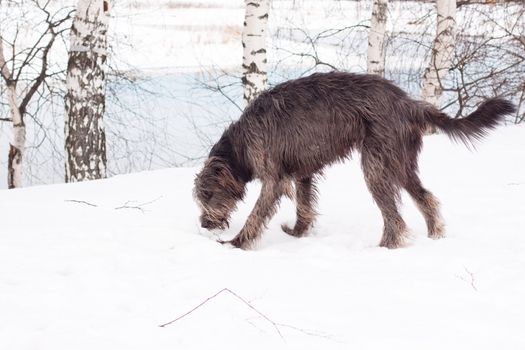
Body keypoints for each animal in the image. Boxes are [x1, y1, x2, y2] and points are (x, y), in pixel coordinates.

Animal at [193, 72, 516, 249]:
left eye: (207, 195)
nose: (204, 224)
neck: (240, 146)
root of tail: (408, 103)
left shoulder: (275, 179)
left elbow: (256, 215)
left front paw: (236, 244)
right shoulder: (302, 173)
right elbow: (304, 206)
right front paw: (298, 232)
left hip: (376, 166)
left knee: (395, 218)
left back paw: (385, 247)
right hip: (400, 163)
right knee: (426, 198)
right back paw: (435, 235)